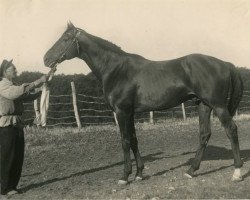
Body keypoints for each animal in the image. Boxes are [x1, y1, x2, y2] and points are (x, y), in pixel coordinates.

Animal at [44, 22, 243, 184]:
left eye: (65, 39)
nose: (46, 59)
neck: (116, 69)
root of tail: (225, 64)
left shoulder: (122, 111)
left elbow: (125, 140)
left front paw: (125, 176)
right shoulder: (130, 112)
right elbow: (134, 140)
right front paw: (139, 174)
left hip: (218, 106)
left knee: (231, 130)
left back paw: (237, 172)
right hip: (204, 105)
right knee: (204, 135)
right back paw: (191, 171)